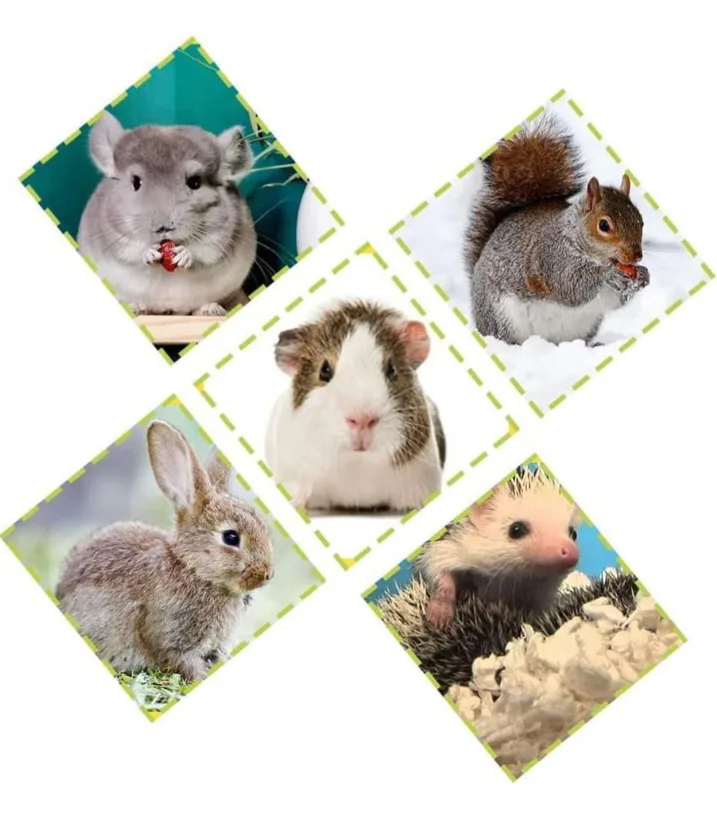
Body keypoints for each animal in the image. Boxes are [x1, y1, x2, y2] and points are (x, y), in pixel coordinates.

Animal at [77, 111, 257, 316]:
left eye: (194, 182)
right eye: (136, 182)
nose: (163, 227)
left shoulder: (222, 236)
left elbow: (206, 251)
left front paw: (184, 255)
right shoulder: (113, 233)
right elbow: (130, 250)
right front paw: (148, 253)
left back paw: (210, 310)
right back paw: (136, 307)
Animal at [416, 466, 581, 628]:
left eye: (573, 533)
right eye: (516, 529)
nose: (571, 552)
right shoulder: (448, 541)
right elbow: (437, 569)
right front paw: (439, 614)